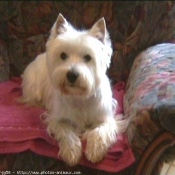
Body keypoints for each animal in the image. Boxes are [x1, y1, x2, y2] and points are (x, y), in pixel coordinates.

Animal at [20, 13, 124, 165]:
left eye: (88, 57)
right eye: (63, 55)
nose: (72, 75)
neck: (79, 97)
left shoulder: (106, 118)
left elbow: (100, 131)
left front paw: (94, 151)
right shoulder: (57, 119)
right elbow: (66, 132)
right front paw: (71, 153)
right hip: (32, 85)